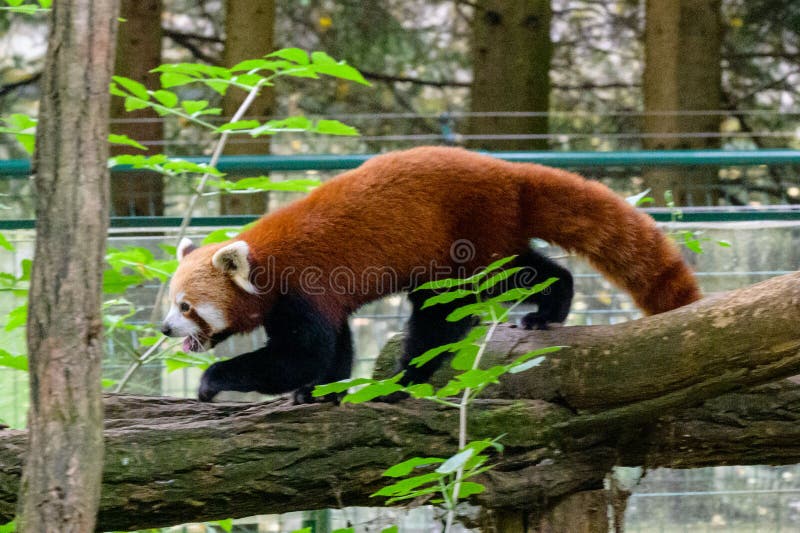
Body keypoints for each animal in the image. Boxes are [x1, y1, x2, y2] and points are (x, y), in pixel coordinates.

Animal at [161, 145, 700, 404]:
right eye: (170, 304)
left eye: (187, 306)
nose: (166, 329)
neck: (265, 260)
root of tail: (507, 171)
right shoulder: (321, 302)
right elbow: (333, 349)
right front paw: (320, 393)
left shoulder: (303, 289)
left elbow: (300, 356)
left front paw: (213, 381)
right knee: (532, 268)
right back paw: (548, 308)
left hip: (466, 241)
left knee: (451, 309)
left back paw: (406, 379)